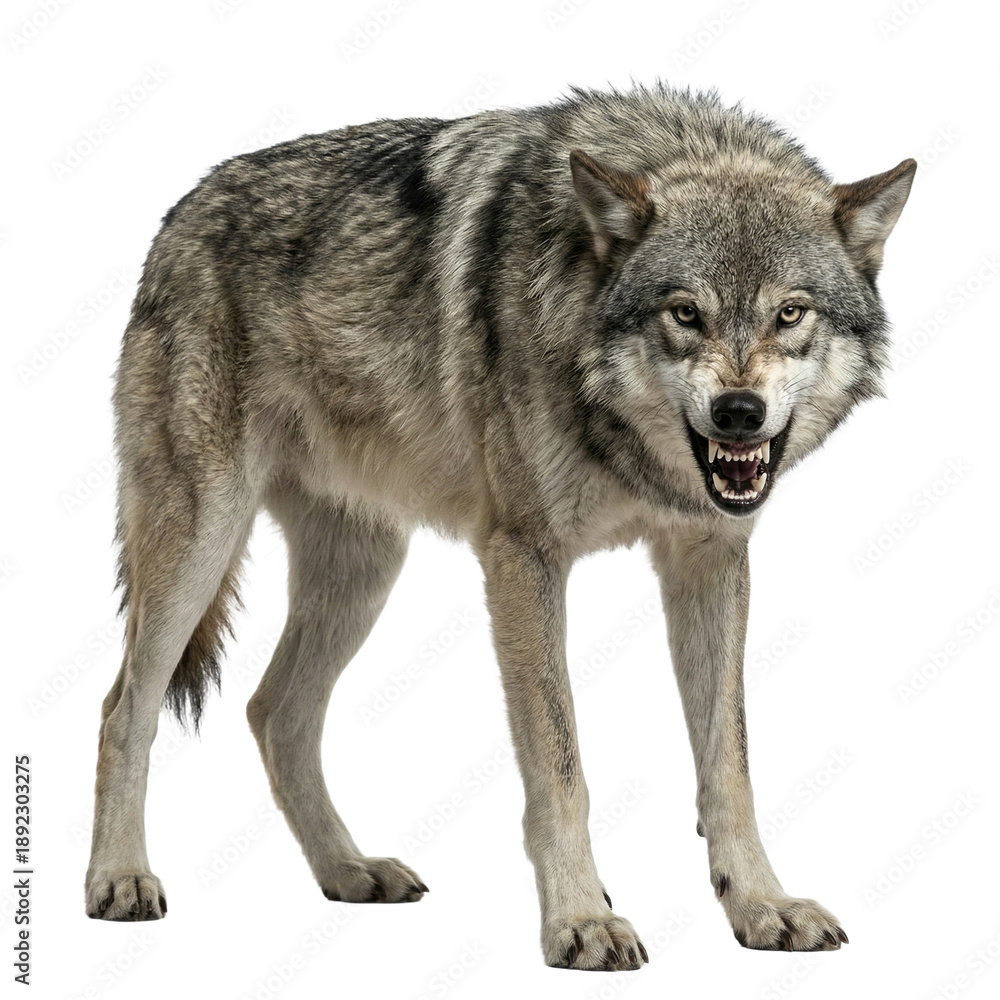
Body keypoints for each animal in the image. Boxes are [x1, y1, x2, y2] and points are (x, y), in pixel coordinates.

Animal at [85, 84, 914, 970]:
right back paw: (120, 879)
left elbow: (729, 765)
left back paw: (348, 869)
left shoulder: (709, 558)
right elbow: (561, 766)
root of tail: (180, 211)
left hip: (363, 575)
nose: (738, 413)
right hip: (201, 541)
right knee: (124, 708)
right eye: (685, 313)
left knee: (274, 712)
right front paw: (581, 920)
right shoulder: (524, 558)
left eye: (790, 313)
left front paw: (760, 904)